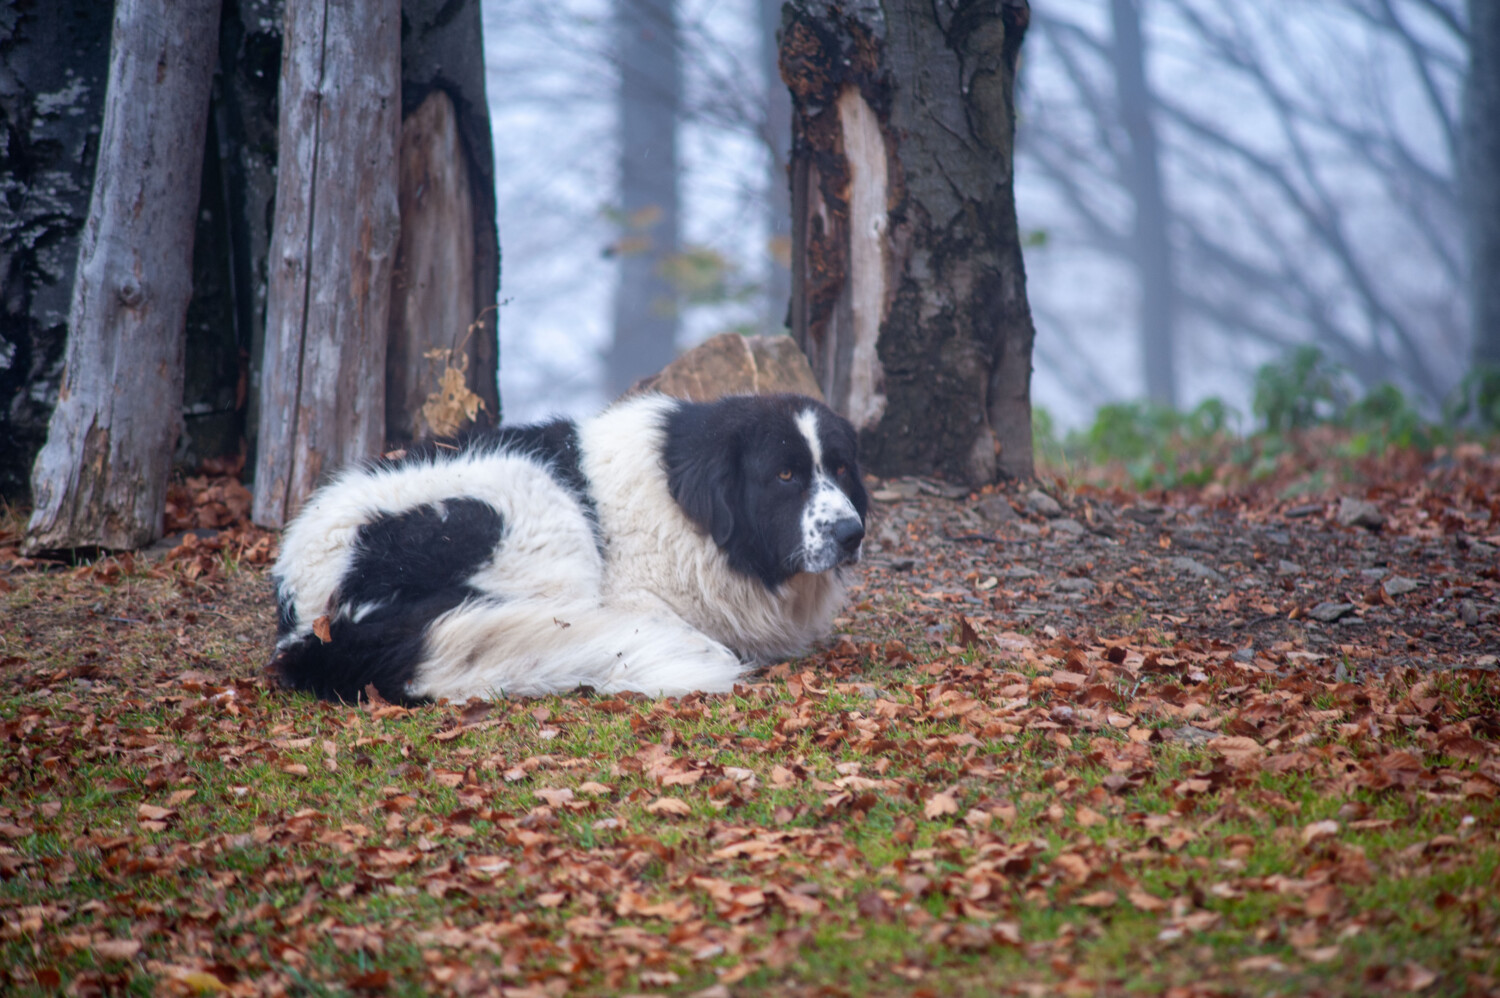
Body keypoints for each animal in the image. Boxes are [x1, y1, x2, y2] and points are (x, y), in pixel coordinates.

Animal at [264, 390, 864, 699]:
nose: (851, 533)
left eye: (839, 468)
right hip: (532, 503)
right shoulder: (632, 596)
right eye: (785, 475)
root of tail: (308, 626)